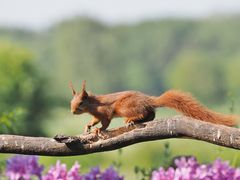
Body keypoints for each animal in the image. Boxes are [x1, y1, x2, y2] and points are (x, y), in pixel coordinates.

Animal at [69, 81, 236, 134]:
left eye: (81, 103)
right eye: (71, 102)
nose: (72, 111)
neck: (94, 103)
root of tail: (148, 100)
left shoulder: (105, 112)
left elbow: (105, 122)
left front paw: (98, 130)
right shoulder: (96, 115)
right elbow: (94, 120)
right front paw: (88, 126)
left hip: (125, 107)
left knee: (142, 113)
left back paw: (131, 120)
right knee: (151, 114)